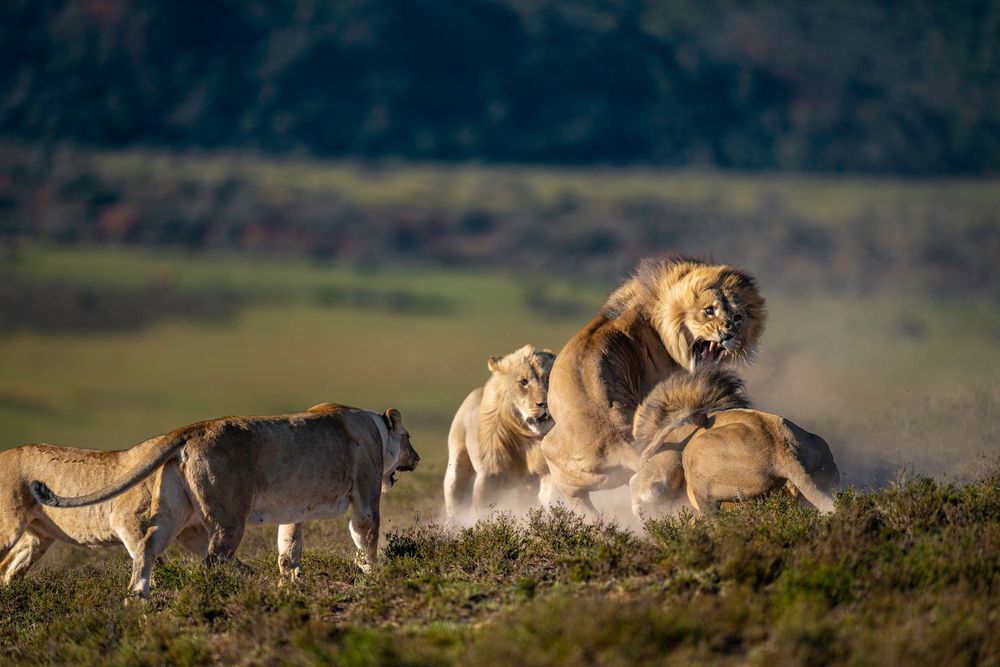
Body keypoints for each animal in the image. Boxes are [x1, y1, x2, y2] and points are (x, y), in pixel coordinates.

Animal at [17, 403, 418, 597]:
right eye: (410, 438)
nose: (417, 457)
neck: (377, 429)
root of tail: (193, 429)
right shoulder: (365, 495)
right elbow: (366, 536)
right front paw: (373, 574)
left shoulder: (293, 510)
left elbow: (288, 548)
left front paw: (290, 585)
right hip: (229, 517)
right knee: (212, 561)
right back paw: (220, 593)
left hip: (173, 511)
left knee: (148, 547)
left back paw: (138, 598)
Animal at [444, 345, 556, 519]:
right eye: (524, 382)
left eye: (548, 379)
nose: (544, 403)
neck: (528, 438)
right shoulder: (489, 474)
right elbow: (482, 509)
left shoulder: (546, 472)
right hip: (457, 464)